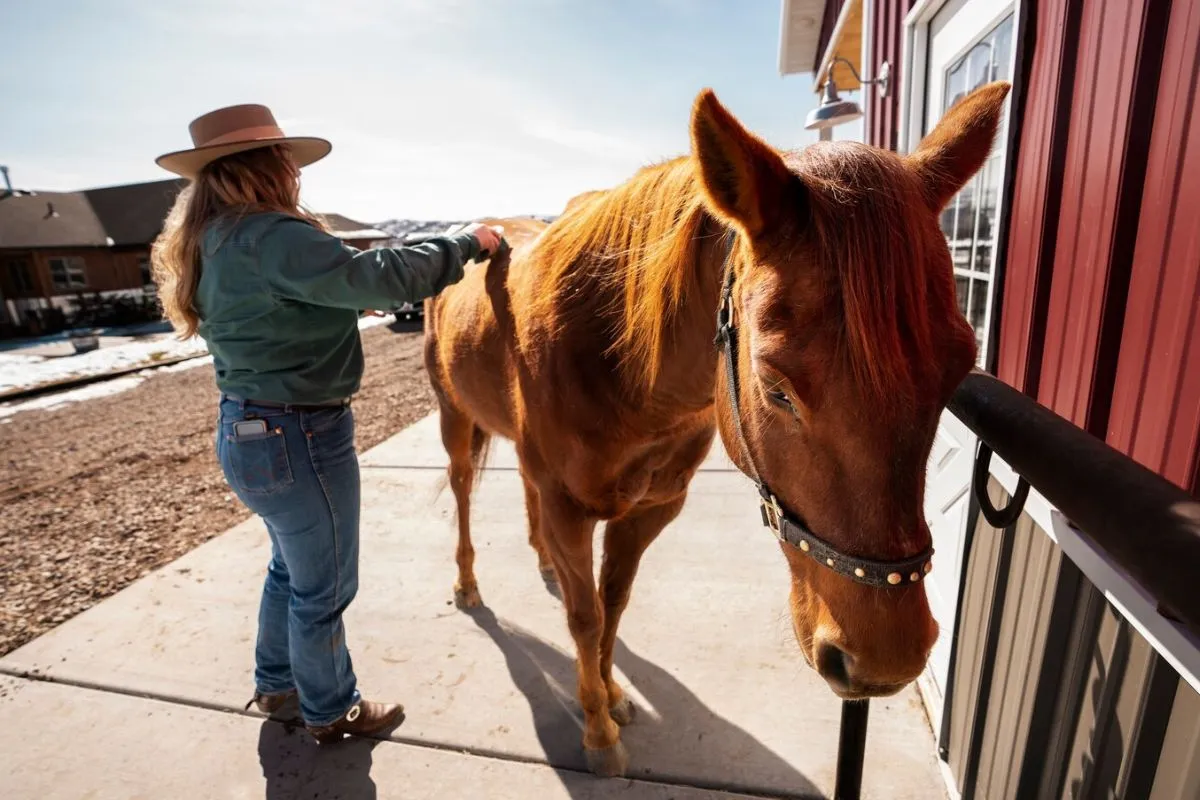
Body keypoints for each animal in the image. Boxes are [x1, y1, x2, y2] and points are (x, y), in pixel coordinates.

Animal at [427, 81, 1008, 777]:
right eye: (776, 386)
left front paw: (611, 693)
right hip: (454, 418)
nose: (885, 660)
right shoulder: (571, 511)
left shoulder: (651, 510)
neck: (619, 368)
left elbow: (612, 602)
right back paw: (466, 582)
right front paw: (597, 730)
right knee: (463, 491)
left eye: (958, 369)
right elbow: (585, 616)